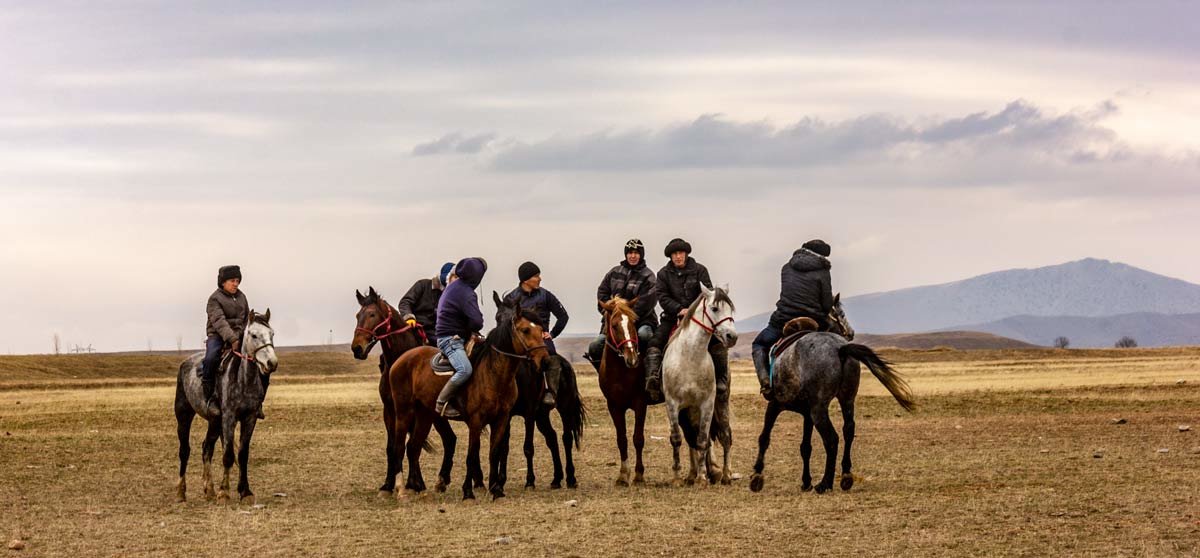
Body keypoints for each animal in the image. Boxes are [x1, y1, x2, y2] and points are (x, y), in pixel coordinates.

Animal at [174, 309, 278, 504]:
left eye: (272, 334)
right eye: (253, 335)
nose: (272, 363)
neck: (243, 380)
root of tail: (186, 363)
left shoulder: (249, 418)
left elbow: (242, 455)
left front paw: (245, 492)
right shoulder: (229, 418)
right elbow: (228, 455)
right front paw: (224, 492)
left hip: (215, 422)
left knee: (206, 448)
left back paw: (209, 490)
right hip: (184, 415)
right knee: (185, 450)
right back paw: (181, 492)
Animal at [350, 286, 458, 496]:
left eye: (372, 314)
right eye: (358, 315)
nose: (357, 348)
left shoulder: (415, 412)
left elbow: (413, 445)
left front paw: (414, 483)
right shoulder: (390, 410)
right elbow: (392, 447)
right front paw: (388, 485)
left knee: (447, 440)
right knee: (449, 439)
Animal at [388, 291, 549, 499]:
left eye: (541, 329)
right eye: (525, 330)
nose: (544, 361)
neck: (493, 373)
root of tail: (401, 359)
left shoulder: (501, 419)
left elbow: (494, 453)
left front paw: (496, 489)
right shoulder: (476, 420)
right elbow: (472, 455)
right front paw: (468, 491)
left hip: (425, 415)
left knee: (413, 447)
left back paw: (416, 487)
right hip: (403, 412)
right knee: (399, 447)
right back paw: (401, 489)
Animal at [595, 295, 652, 482]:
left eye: (633, 323)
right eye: (614, 325)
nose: (632, 359)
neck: (621, 372)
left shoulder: (641, 403)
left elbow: (638, 438)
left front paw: (639, 474)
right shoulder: (614, 406)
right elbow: (622, 439)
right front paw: (622, 474)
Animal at [662, 284, 734, 484]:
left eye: (731, 309)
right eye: (714, 308)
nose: (732, 336)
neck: (690, 357)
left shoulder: (706, 404)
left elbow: (703, 440)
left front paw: (702, 477)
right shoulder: (673, 404)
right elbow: (677, 439)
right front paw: (677, 476)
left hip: (720, 403)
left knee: (724, 436)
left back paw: (725, 474)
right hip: (688, 412)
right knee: (689, 438)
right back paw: (691, 474)